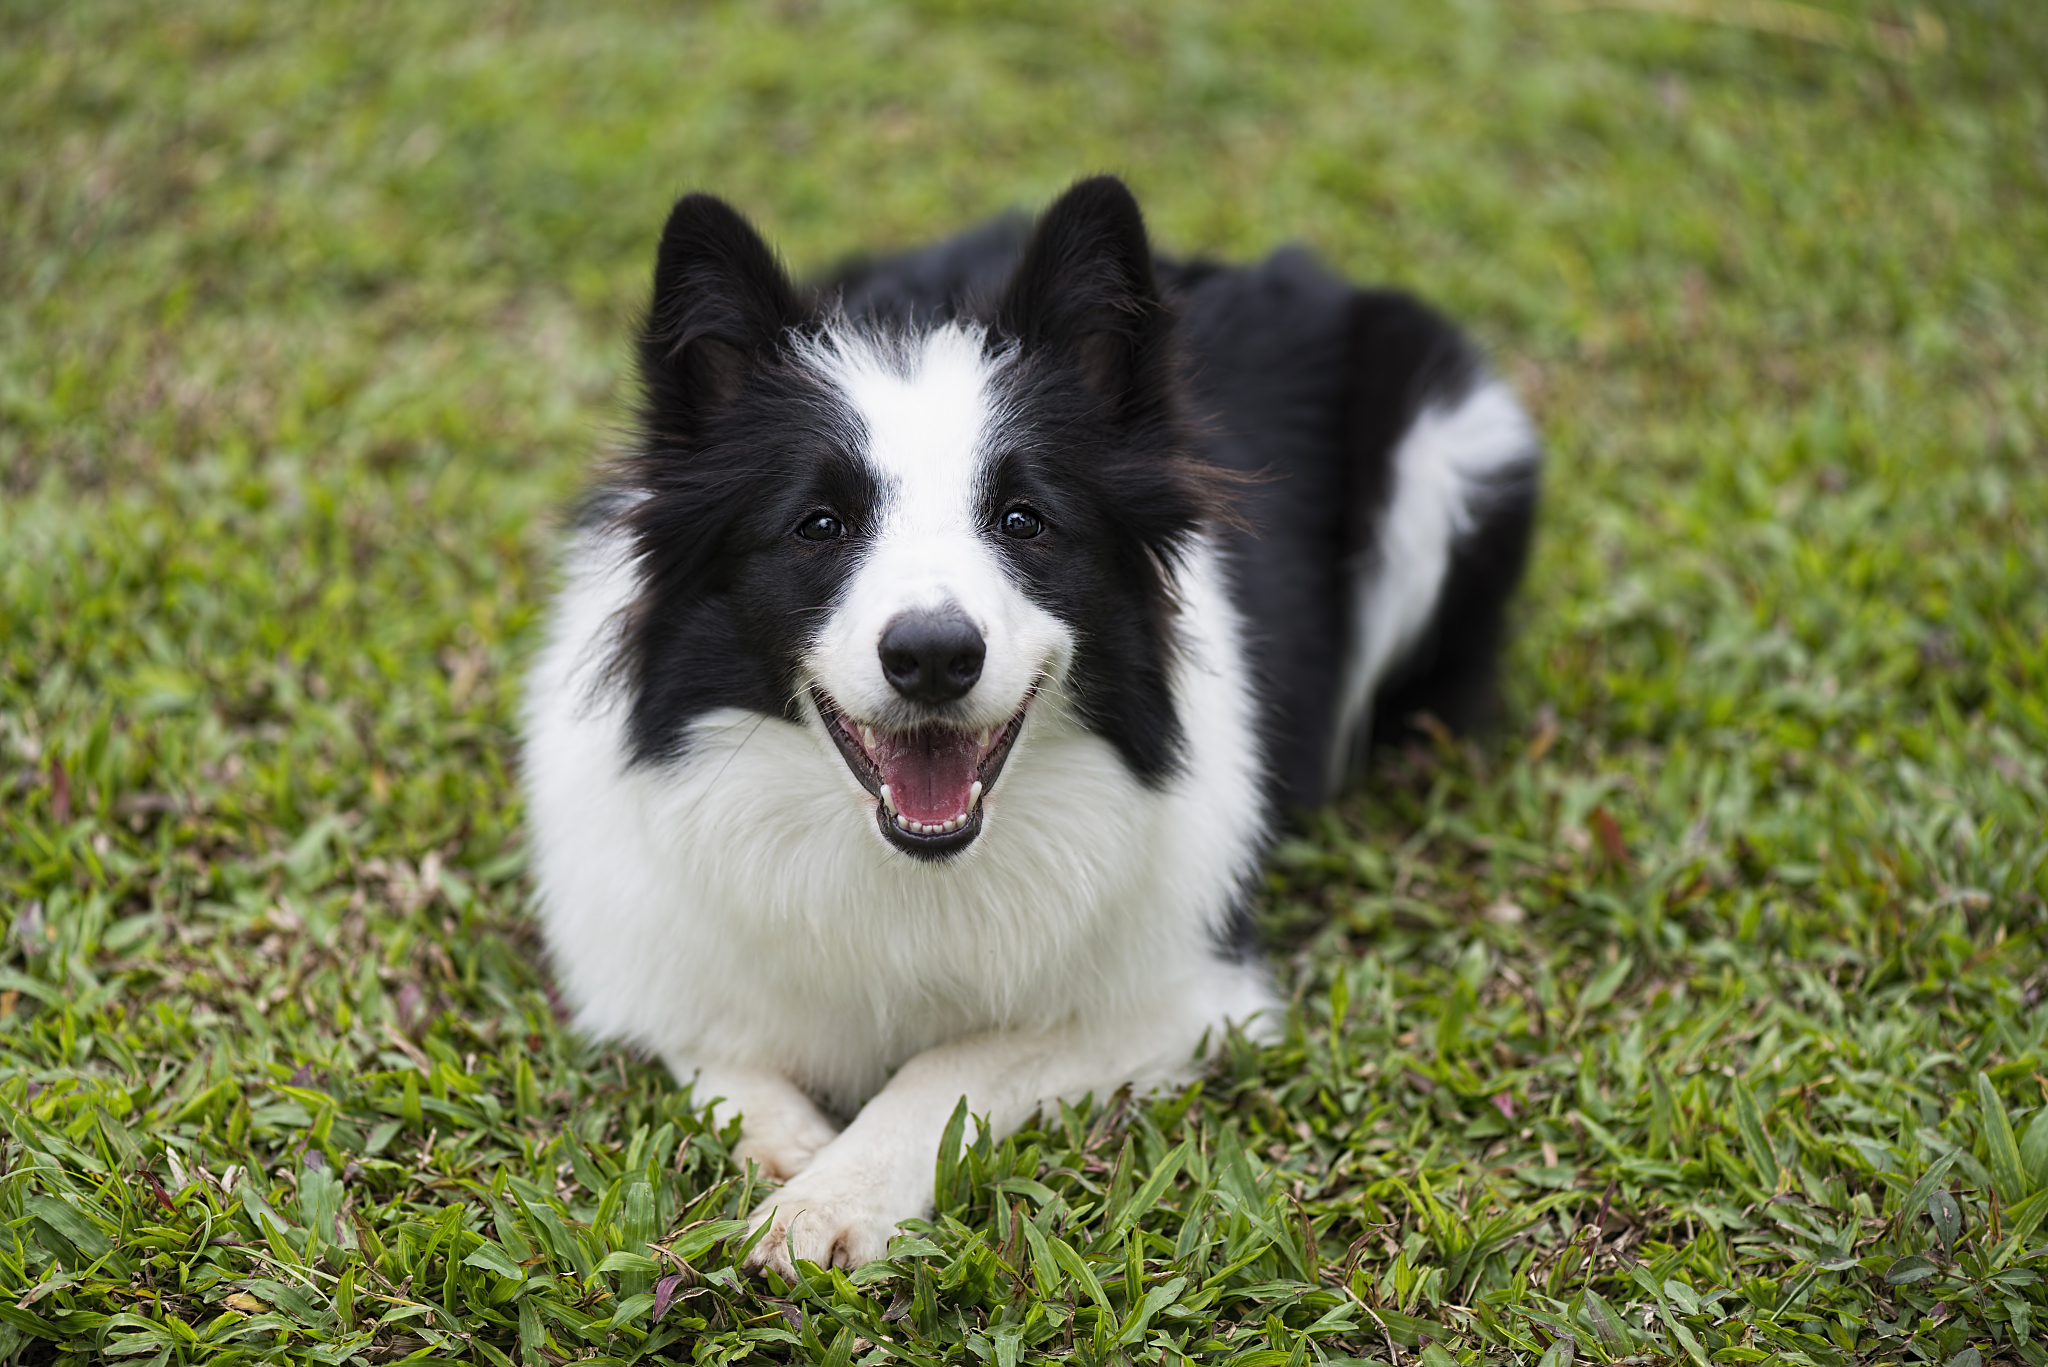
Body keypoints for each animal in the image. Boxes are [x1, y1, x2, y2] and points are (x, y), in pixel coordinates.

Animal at [520, 179, 1540, 1270]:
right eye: (818, 526)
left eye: (1023, 520)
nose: (932, 654)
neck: (901, 872)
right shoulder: (646, 945)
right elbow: (717, 1044)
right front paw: (786, 1145)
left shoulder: (1186, 995)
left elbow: (952, 1063)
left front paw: (825, 1199)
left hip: (1455, 456)